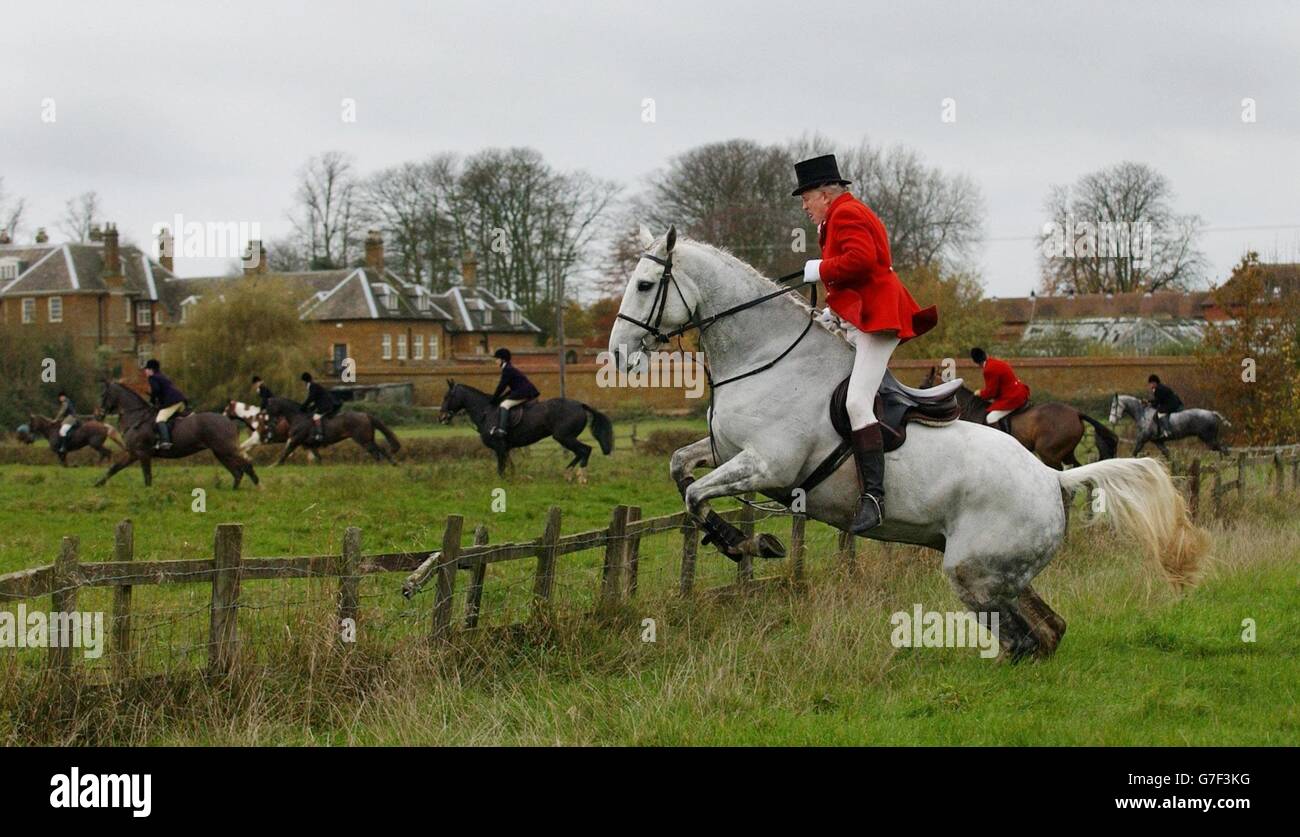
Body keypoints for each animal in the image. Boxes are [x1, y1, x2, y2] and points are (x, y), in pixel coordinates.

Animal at [95, 382, 258, 491]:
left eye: (103, 395)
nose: (99, 416)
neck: (136, 417)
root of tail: (228, 419)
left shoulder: (143, 453)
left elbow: (147, 475)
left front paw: (148, 492)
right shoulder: (132, 453)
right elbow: (114, 468)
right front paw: (98, 484)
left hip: (225, 449)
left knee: (246, 464)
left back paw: (257, 485)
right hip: (220, 452)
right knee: (237, 471)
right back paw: (234, 489)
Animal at [441, 376, 613, 478]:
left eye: (447, 396)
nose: (441, 417)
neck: (485, 411)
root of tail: (580, 405)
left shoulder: (499, 446)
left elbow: (501, 469)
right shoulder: (505, 448)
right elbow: (509, 467)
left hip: (564, 437)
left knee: (585, 450)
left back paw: (580, 477)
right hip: (565, 438)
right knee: (580, 452)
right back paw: (568, 473)